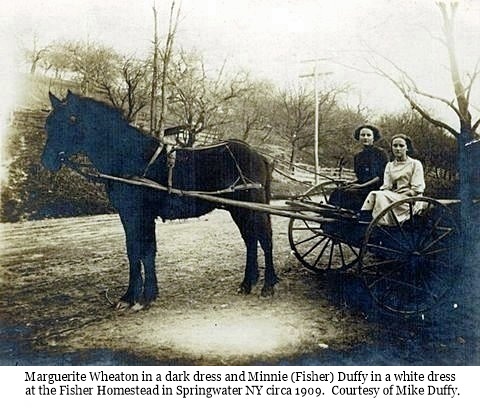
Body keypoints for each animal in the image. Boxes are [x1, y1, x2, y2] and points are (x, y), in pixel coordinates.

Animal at [43, 91, 280, 310]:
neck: (129, 155)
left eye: (72, 119)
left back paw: (268, 285)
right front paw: (133, 296)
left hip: (251, 207)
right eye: (49, 122)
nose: (47, 160)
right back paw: (247, 283)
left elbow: (144, 251)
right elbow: (135, 251)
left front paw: (143, 297)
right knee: (250, 240)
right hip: (239, 210)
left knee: (265, 239)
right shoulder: (128, 215)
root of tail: (258, 155)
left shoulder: (141, 215)